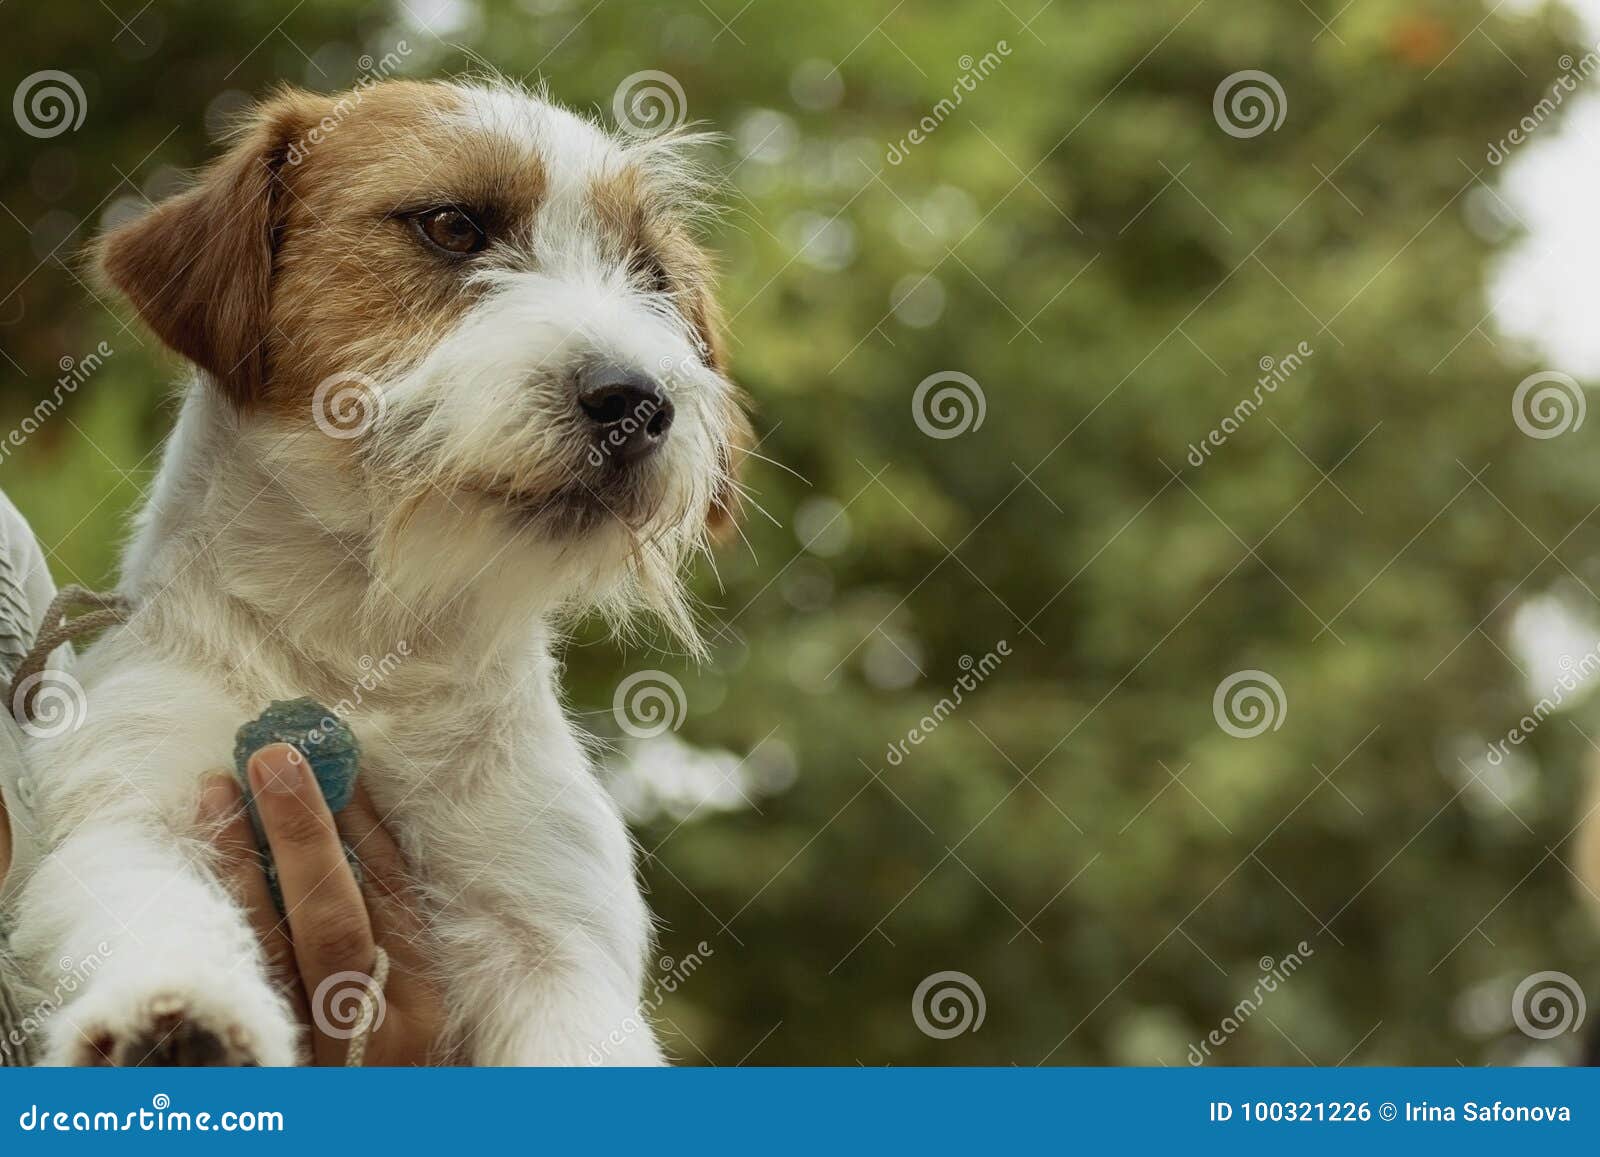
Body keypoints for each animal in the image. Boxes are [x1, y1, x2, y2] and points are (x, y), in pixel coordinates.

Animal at [4, 76, 748, 1062]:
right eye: (454, 227)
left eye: (652, 277)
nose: (638, 400)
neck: (363, 644)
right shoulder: (130, 812)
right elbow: (160, 910)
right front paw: (179, 1015)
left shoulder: (554, 930)